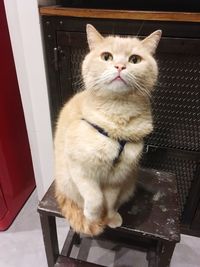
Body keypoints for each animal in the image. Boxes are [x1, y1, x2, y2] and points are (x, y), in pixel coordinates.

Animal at [54, 23, 161, 237]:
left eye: (134, 60)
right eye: (106, 56)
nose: (119, 66)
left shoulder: (116, 179)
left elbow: (110, 202)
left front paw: (110, 218)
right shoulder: (80, 170)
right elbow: (95, 199)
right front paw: (93, 217)